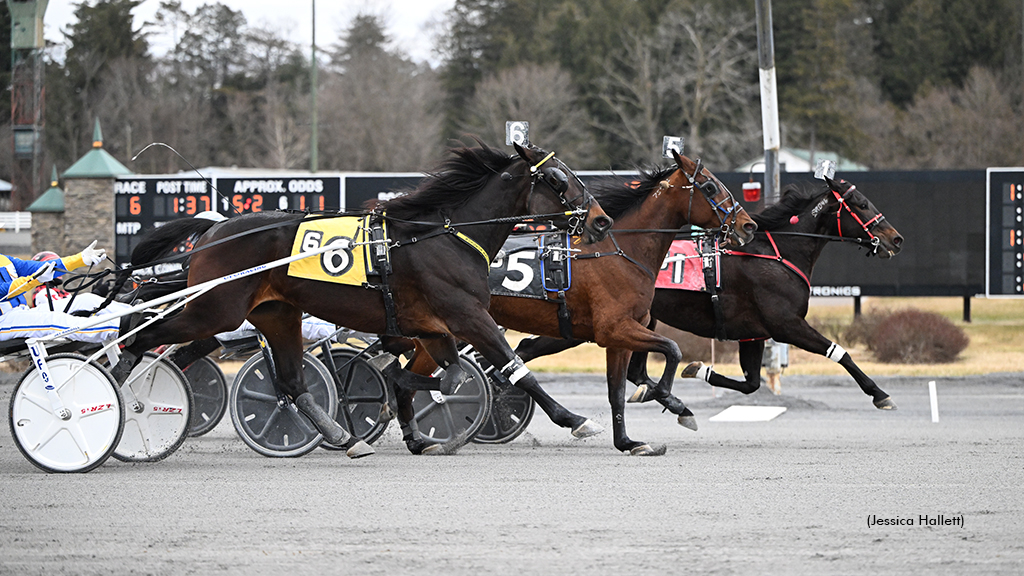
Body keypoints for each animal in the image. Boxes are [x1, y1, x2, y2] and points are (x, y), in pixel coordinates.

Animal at [108, 141, 610, 455]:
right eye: (559, 179)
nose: (602, 221)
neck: (444, 236)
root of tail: (215, 229)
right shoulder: (468, 316)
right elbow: (513, 368)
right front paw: (576, 419)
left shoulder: (433, 327)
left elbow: (440, 376)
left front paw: (412, 423)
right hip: (216, 308)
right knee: (143, 330)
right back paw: (120, 379)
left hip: (274, 313)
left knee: (292, 382)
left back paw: (347, 439)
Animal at [407, 148, 761, 453]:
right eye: (709, 186)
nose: (748, 225)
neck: (620, 253)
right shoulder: (615, 328)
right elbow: (672, 349)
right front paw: (665, 397)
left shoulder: (618, 337)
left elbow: (616, 392)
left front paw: (629, 441)